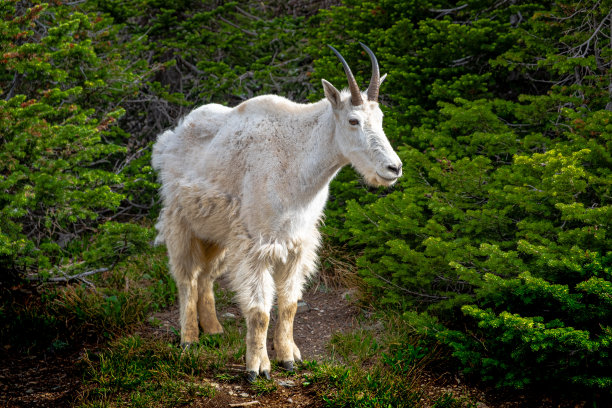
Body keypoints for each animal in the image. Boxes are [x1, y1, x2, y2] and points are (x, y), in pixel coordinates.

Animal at [152, 43, 402, 382]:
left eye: (381, 118)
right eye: (353, 120)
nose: (393, 168)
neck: (296, 163)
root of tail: (170, 138)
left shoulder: (297, 243)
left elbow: (289, 304)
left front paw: (288, 358)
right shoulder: (255, 245)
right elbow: (259, 311)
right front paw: (258, 368)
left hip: (217, 233)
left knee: (207, 275)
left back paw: (214, 329)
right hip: (181, 222)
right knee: (187, 277)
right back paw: (189, 338)